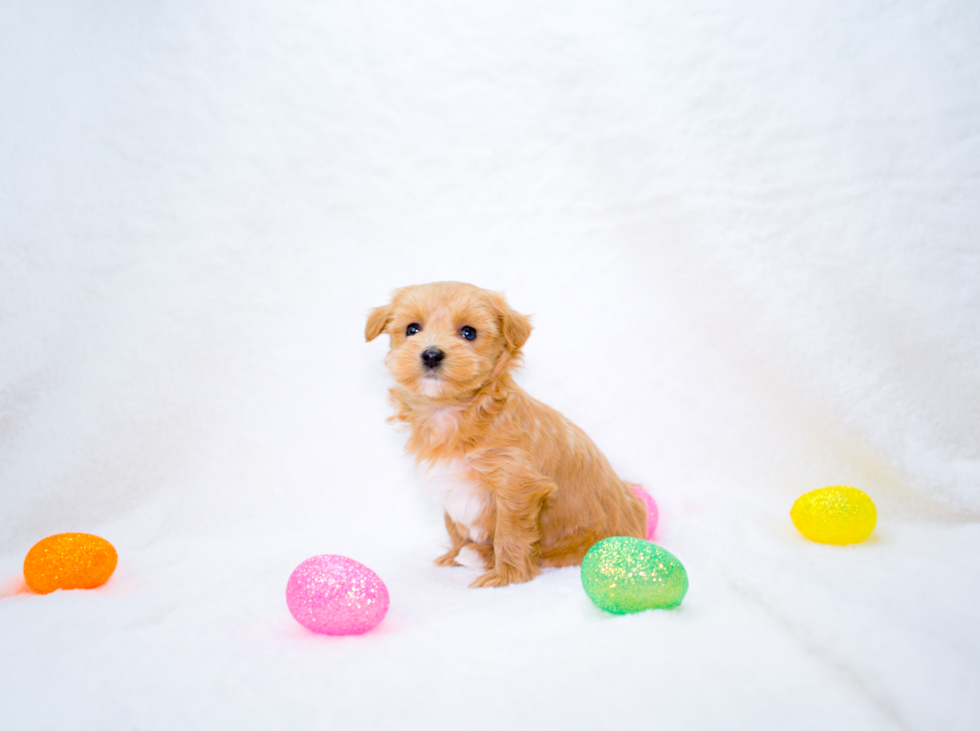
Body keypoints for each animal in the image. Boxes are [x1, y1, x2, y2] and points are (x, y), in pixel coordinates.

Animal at [364, 282, 648, 588]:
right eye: (412, 329)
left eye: (468, 332)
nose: (431, 354)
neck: (453, 411)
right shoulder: (449, 483)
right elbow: (454, 525)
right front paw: (453, 556)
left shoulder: (516, 485)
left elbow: (510, 533)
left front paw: (506, 576)